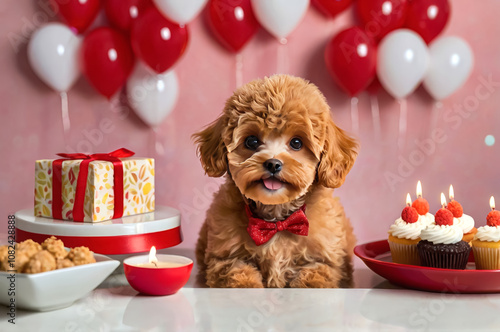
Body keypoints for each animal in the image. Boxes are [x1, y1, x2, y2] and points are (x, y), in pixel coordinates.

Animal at [193, 75, 358, 288]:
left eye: (296, 143)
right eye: (252, 141)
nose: (273, 163)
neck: (277, 221)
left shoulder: (326, 260)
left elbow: (315, 275)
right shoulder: (223, 258)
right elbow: (237, 272)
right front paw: (247, 287)